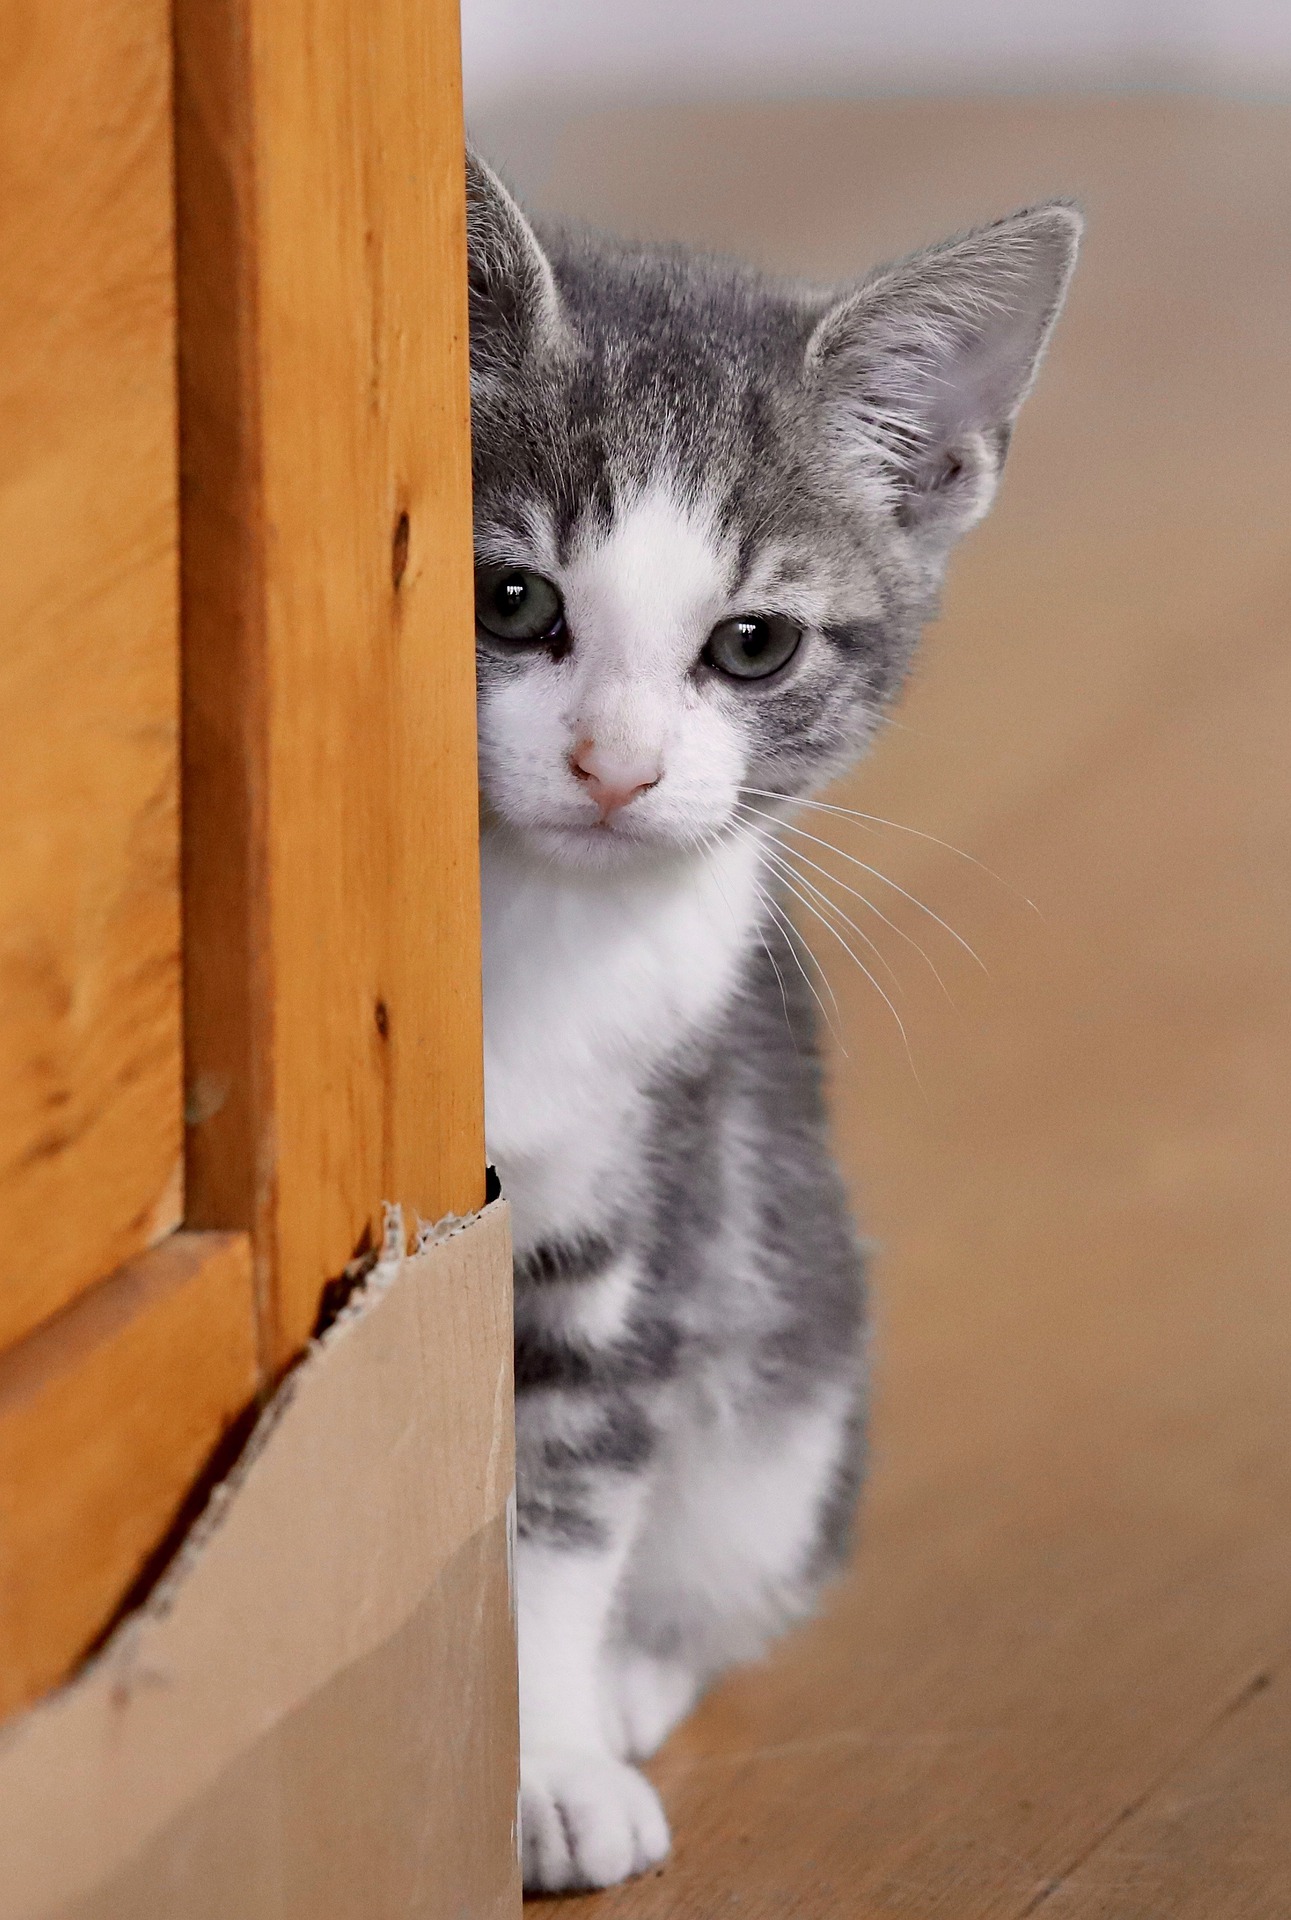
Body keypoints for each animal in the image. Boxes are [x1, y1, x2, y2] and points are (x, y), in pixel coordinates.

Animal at [466, 149, 1075, 1889]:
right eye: (510, 600)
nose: (613, 766)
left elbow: (558, 1507)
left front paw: (547, 1760)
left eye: (751, 644)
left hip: (789, 1379)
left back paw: (632, 1676)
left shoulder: (643, 1191)